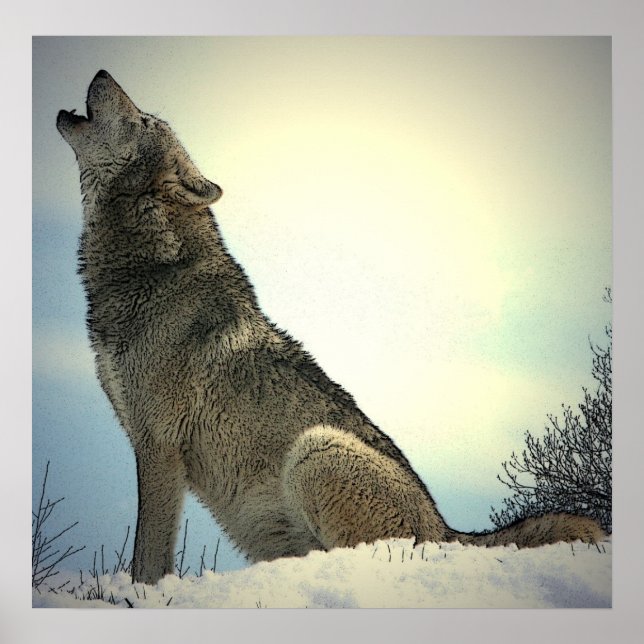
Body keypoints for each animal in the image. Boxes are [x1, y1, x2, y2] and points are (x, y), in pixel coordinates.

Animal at [57, 70, 604, 585]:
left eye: (143, 120)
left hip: (314, 449)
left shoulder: (159, 447)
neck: (151, 269)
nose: (102, 72)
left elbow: (147, 557)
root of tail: (448, 531)